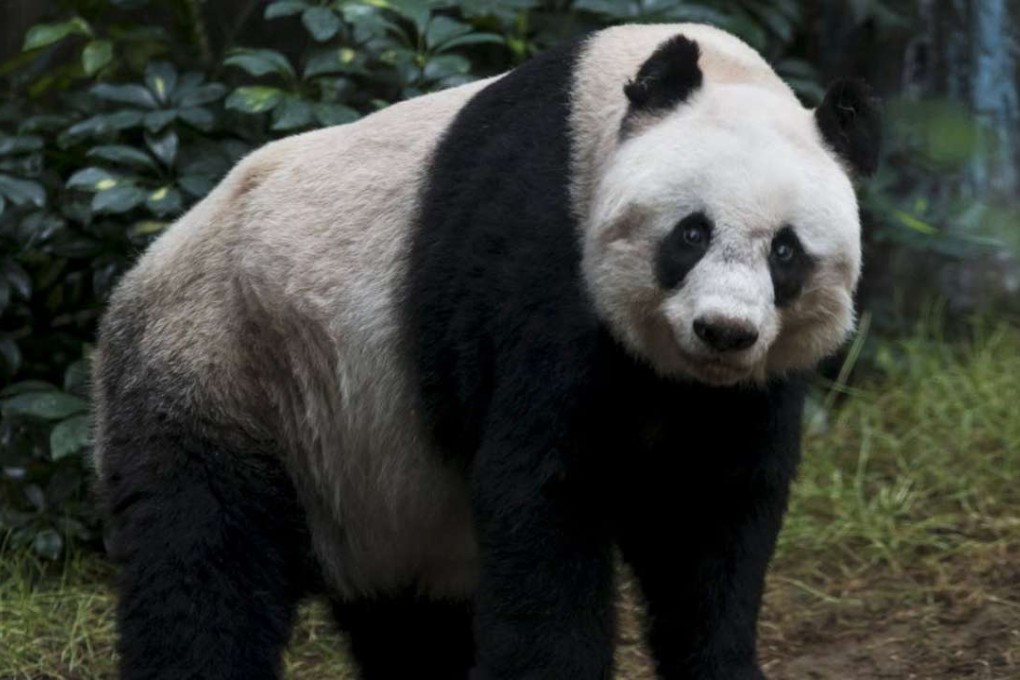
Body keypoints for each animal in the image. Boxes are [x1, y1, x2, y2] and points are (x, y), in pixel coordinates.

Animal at [93, 22, 880, 680]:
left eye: (786, 252)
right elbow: (545, 494)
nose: (723, 331)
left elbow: (709, 517)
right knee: (203, 560)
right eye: (691, 233)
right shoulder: (537, 262)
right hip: (228, 365)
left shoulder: (744, 391)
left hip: (371, 474)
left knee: (409, 623)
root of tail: (138, 273)